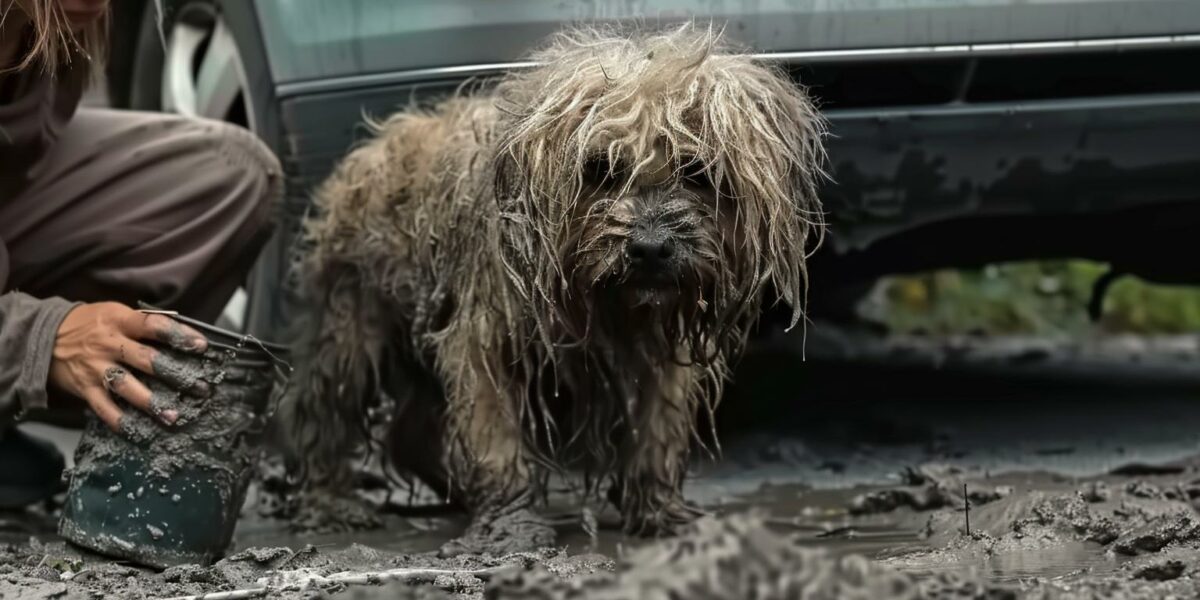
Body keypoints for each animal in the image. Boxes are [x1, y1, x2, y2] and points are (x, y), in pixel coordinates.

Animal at [284, 24, 825, 552]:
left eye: (697, 170)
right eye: (600, 170)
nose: (650, 248)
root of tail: (372, 145)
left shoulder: (659, 340)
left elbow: (658, 426)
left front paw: (660, 513)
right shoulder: (484, 337)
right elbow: (495, 435)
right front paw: (511, 526)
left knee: (412, 432)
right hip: (350, 327)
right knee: (322, 413)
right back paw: (330, 502)